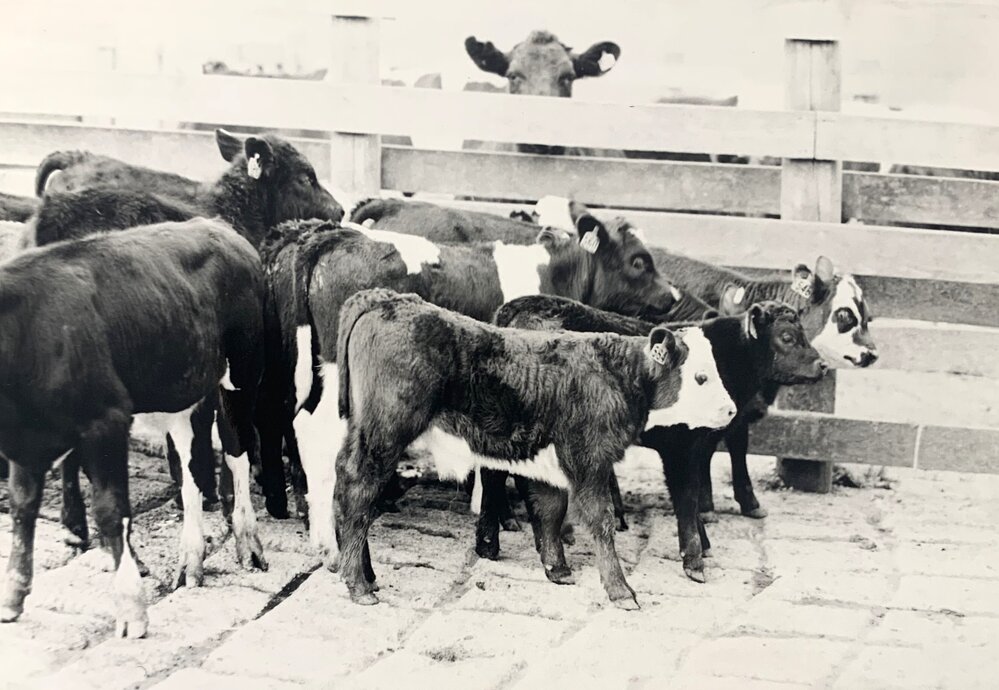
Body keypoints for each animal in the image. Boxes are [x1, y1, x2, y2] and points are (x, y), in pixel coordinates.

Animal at [0, 219, 268, 637]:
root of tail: (216, 225)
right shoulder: (24, 441)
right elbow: (22, 507)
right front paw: (14, 595)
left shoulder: (106, 421)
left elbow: (110, 510)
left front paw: (130, 608)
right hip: (181, 386)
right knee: (191, 470)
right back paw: (191, 560)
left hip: (241, 371)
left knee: (237, 450)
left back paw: (247, 542)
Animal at [258, 209, 680, 560]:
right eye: (639, 260)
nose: (674, 295)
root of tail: (330, 234)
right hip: (338, 373)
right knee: (318, 434)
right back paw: (329, 540)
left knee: (292, 422)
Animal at [333, 287, 736, 608]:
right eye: (700, 377)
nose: (731, 410)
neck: (616, 374)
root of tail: (389, 298)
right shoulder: (590, 460)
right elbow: (601, 520)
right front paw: (621, 591)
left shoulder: (551, 462)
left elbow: (549, 509)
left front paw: (557, 568)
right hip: (385, 432)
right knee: (359, 490)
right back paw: (358, 584)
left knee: (342, 485)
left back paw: (363, 575)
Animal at [484, 295, 827, 580]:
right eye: (787, 337)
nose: (822, 364)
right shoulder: (680, 445)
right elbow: (686, 496)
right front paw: (694, 560)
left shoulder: (698, 445)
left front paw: (703, 542)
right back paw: (500, 541)